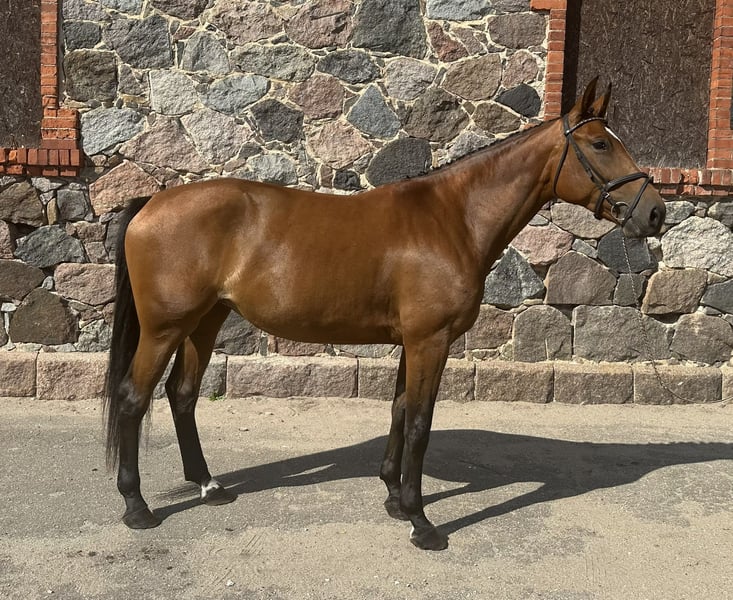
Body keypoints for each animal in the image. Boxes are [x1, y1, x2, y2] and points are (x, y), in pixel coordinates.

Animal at [104, 78, 666, 550]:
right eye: (600, 144)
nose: (655, 212)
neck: (452, 218)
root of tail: (151, 202)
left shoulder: (411, 342)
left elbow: (398, 410)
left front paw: (395, 500)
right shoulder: (430, 341)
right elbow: (419, 422)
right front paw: (421, 522)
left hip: (206, 321)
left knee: (182, 395)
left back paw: (208, 485)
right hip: (165, 329)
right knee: (133, 399)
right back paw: (136, 507)